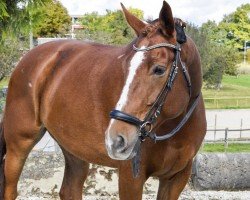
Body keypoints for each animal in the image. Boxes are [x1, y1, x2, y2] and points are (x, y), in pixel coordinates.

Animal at [0, 1, 205, 200]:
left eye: (159, 69)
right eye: (124, 67)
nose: (116, 139)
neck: (173, 131)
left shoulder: (177, 178)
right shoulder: (131, 178)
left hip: (74, 149)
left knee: (69, 190)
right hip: (19, 145)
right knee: (10, 189)